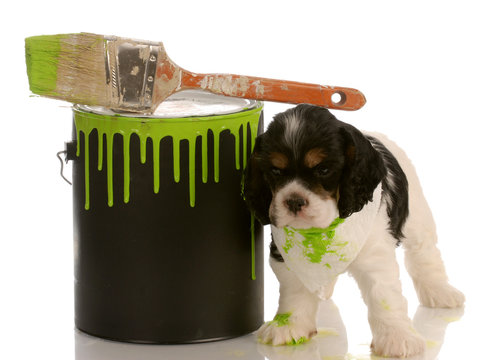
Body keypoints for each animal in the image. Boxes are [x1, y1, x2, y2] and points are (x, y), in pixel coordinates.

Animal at [245, 104, 466, 358]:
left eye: (323, 169)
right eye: (275, 171)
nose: (294, 201)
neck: (322, 230)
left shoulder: (375, 255)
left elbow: (384, 296)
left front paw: (397, 337)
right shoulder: (285, 257)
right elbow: (295, 291)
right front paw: (290, 326)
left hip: (417, 217)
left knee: (424, 254)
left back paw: (440, 292)